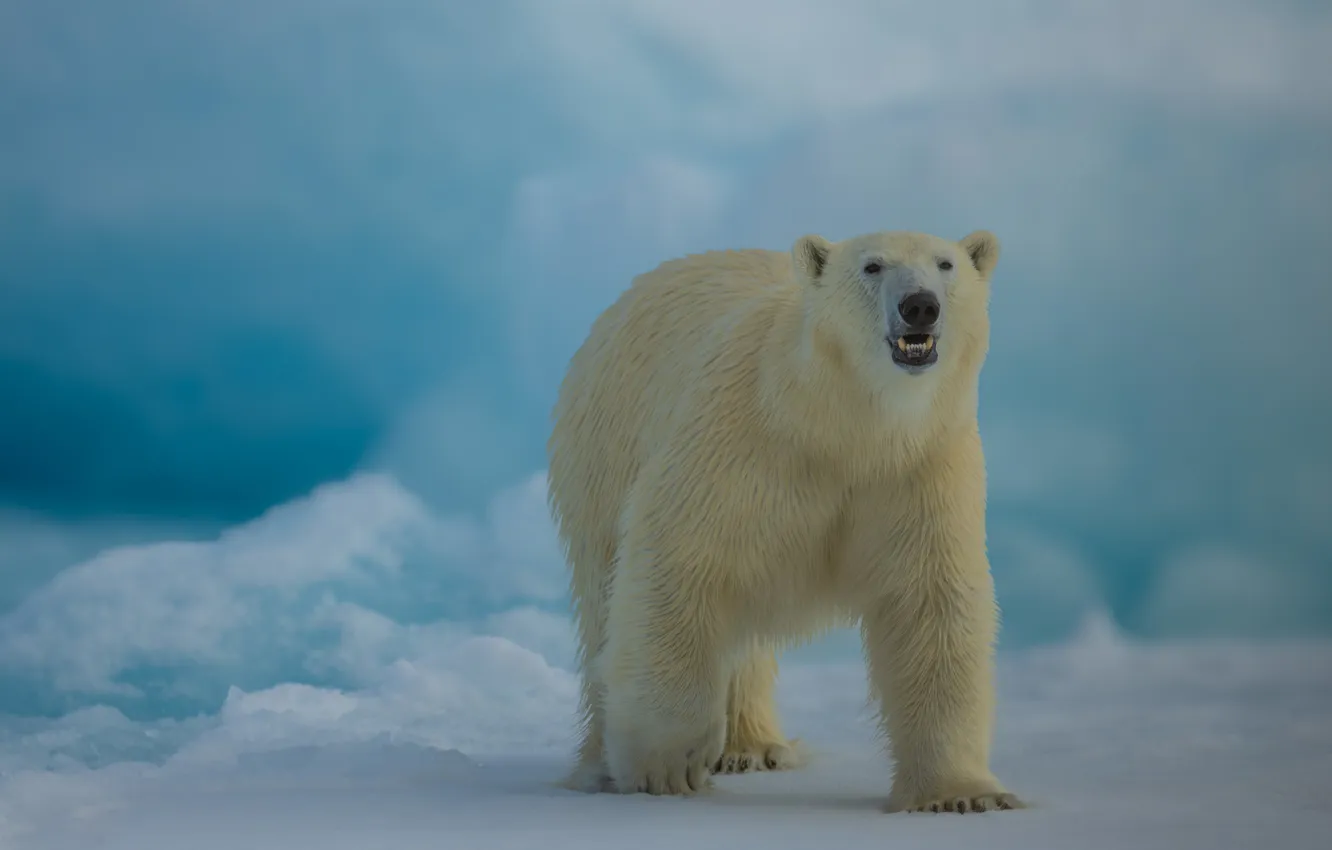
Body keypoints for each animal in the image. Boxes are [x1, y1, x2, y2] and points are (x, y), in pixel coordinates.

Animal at [546, 228, 1023, 814]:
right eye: (872, 266)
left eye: (945, 264)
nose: (920, 306)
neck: (840, 424)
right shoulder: (742, 443)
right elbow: (680, 559)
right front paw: (665, 767)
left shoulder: (918, 468)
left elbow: (931, 603)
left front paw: (964, 796)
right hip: (605, 447)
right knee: (605, 602)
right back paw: (601, 764)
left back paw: (751, 747)